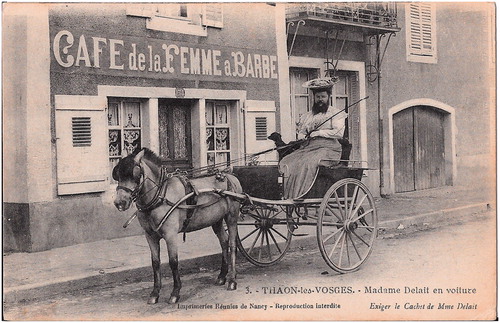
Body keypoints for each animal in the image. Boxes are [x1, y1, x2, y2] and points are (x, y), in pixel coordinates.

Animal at [114, 148, 246, 306]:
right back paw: (222, 276)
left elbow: (173, 261)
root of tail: (231, 176)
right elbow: (155, 262)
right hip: (217, 220)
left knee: (232, 245)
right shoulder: (150, 235)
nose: (119, 203)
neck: (160, 194)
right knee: (224, 242)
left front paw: (175, 292)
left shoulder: (170, 235)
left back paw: (232, 280)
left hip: (231, 218)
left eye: (136, 174)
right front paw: (155, 293)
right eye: (117, 175)